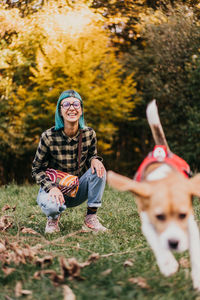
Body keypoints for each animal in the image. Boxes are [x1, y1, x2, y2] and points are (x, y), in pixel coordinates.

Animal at [108, 99, 200, 290]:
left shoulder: (191, 223)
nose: (174, 243)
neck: (164, 179)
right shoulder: (147, 220)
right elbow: (157, 242)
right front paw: (167, 263)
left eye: (182, 215)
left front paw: (197, 279)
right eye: (159, 217)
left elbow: (196, 252)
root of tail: (161, 149)